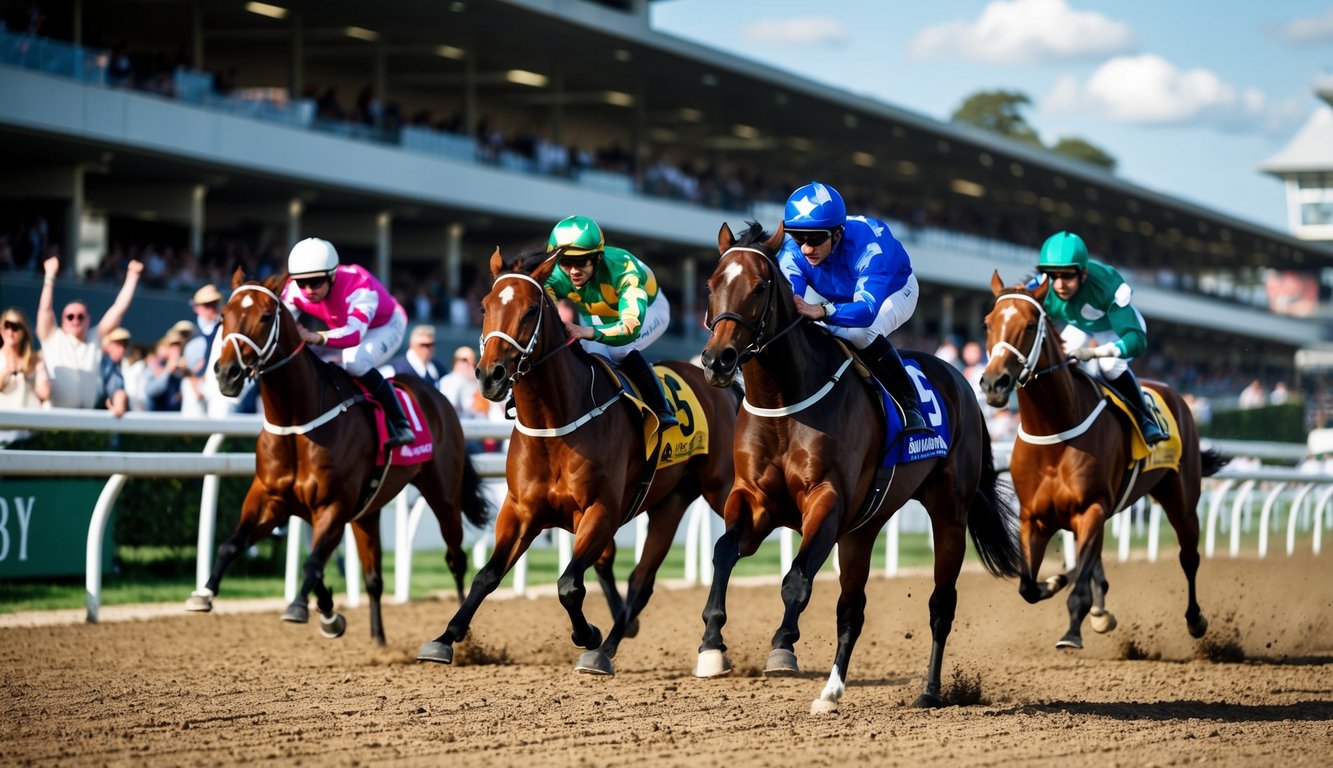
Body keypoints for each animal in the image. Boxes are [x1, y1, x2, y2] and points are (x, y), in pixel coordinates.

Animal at [194, 269, 493, 642]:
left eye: (264, 316)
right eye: (223, 315)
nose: (226, 373)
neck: (297, 421)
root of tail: (438, 397)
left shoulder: (333, 505)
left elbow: (311, 563)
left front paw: (302, 608)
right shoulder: (271, 499)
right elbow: (233, 545)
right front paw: (204, 593)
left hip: (444, 495)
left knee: (456, 558)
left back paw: (461, 638)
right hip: (368, 510)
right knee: (374, 578)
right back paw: (379, 639)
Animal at [415, 242, 741, 674]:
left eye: (530, 310)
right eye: (484, 306)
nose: (490, 376)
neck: (555, 425)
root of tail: (723, 384)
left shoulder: (600, 510)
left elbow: (568, 584)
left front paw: (587, 634)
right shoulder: (520, 511)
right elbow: (487, 576)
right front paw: (444, 638)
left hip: (722, 488)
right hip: (670, 501)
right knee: (642, 580)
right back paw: (611, 646)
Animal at [693, 224, 1023, 714]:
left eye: (759, 287)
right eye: (711, 285)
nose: (718, 360)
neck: (785, 400)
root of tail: (963, 382)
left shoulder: (826, 501)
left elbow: (796, 580)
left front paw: (782, 647)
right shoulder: (755, 500)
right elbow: (724, 552)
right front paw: (712, 645)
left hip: (948, 512)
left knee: (941, 605)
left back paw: (930, 691)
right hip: (863, 528)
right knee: (852, 609)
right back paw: (830, 692)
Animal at [981, 273, 1226, 650]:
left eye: (1030, 325)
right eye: (988, 323)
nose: (994, 383)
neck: (1055, 431)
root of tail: (1175, 394)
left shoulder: (1090, 509)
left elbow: (1078, 586)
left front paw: (1072, 631)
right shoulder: (1033, 517)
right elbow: (1028, 587)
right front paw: (1056, 582)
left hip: (1181, 501)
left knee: (1189, 557)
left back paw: (1195, 619)